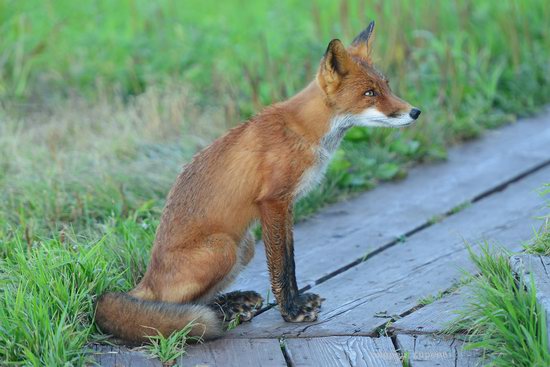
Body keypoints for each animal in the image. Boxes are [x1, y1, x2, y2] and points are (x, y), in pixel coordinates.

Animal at [96, 22, 422, 344]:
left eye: (387, 86)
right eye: (370, 93)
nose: (415, 112)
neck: (303, 131)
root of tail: (147, 279)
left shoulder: (287, 205)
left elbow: (290, 262)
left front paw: (295, 303)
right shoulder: (272, 201)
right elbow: (280, 266)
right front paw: (291, 312)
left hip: (245, 246)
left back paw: (234, 302)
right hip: (224, 248)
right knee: (177, 307)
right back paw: (224, 311)